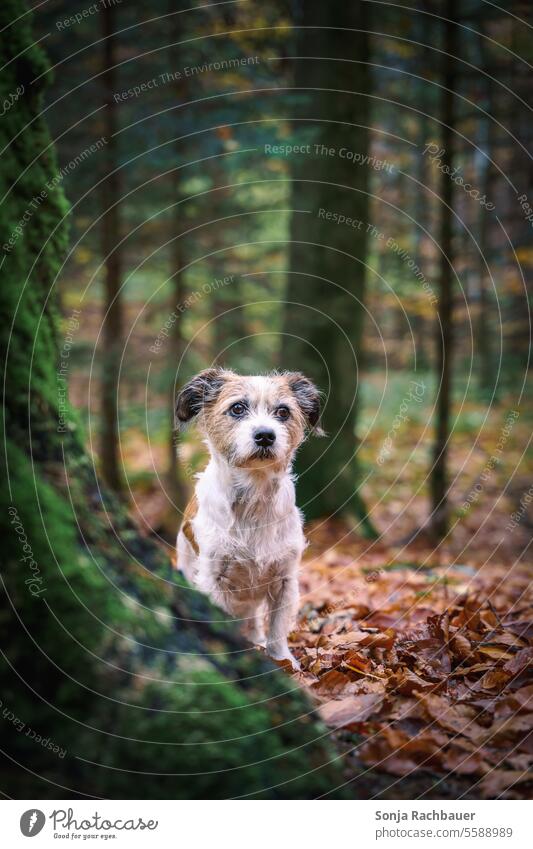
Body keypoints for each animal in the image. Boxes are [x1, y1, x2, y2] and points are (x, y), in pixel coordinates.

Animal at [177, 368, 322, 664]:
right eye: (237, 408)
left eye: (283, 412)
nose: (265, 435)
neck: (253, 500)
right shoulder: (212, 578)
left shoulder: (285, 580)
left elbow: (277, 630)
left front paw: (282, 661)